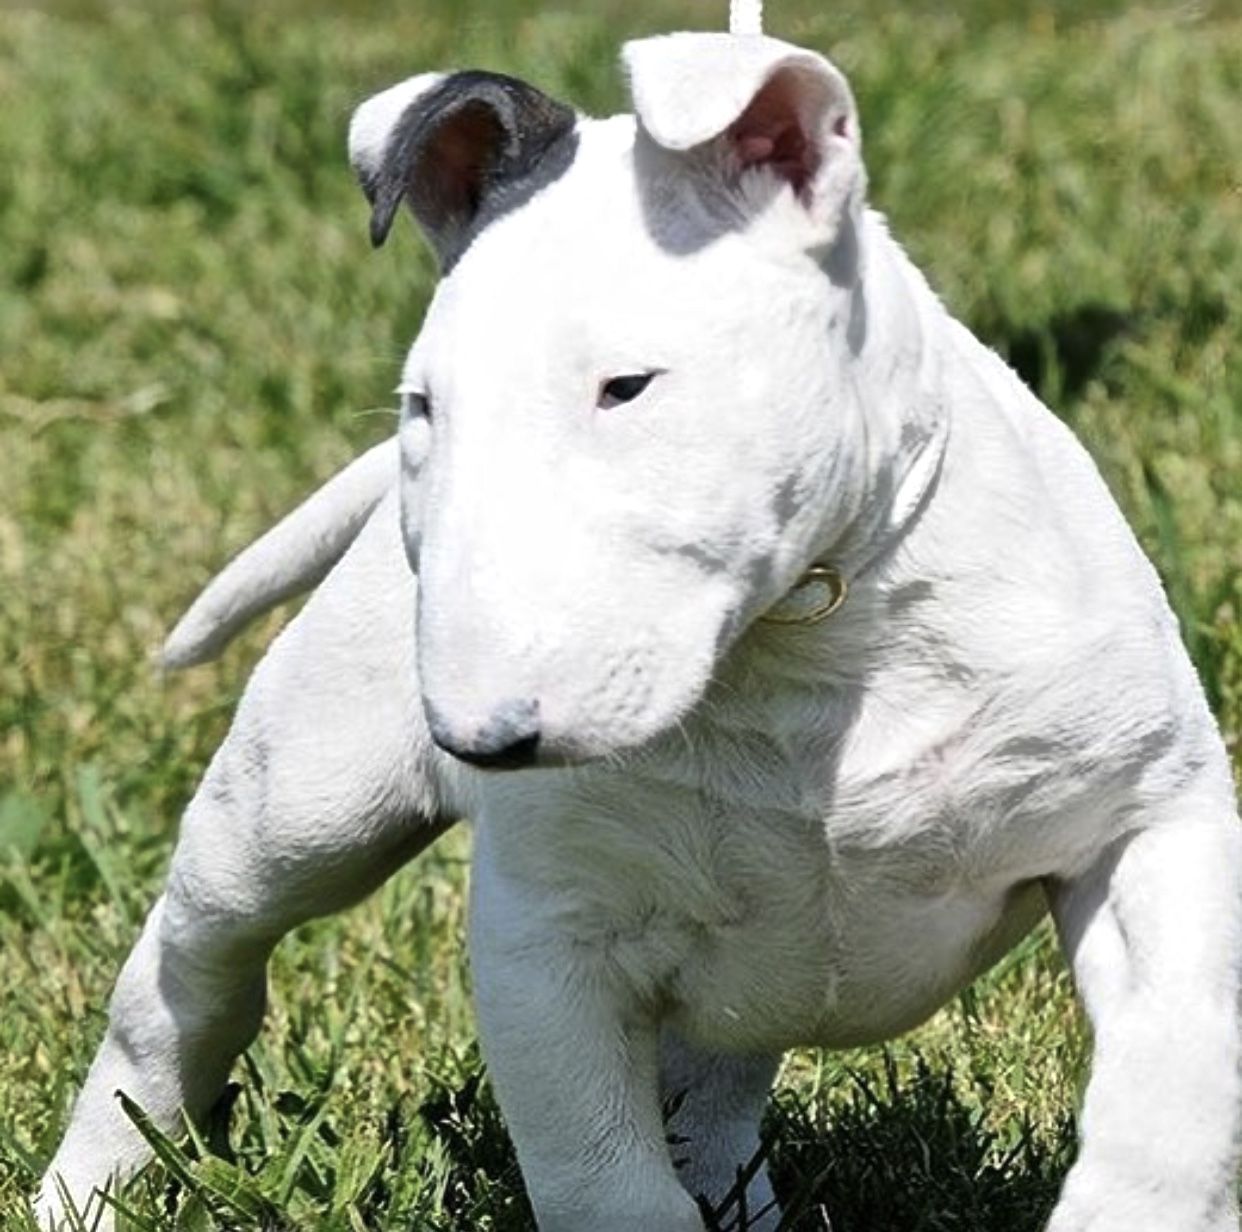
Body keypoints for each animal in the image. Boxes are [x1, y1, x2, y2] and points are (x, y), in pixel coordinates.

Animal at [33, 26, 1242, 1232]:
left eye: (628, 385)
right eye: (425, 408)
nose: (476, 739)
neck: (805, 647)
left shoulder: (1149, 817)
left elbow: (1171, 1079)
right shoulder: (547, 942)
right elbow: (605, 1179)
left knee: (713, 1086)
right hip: (299, 802)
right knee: (187, 977)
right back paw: (82, 1185)